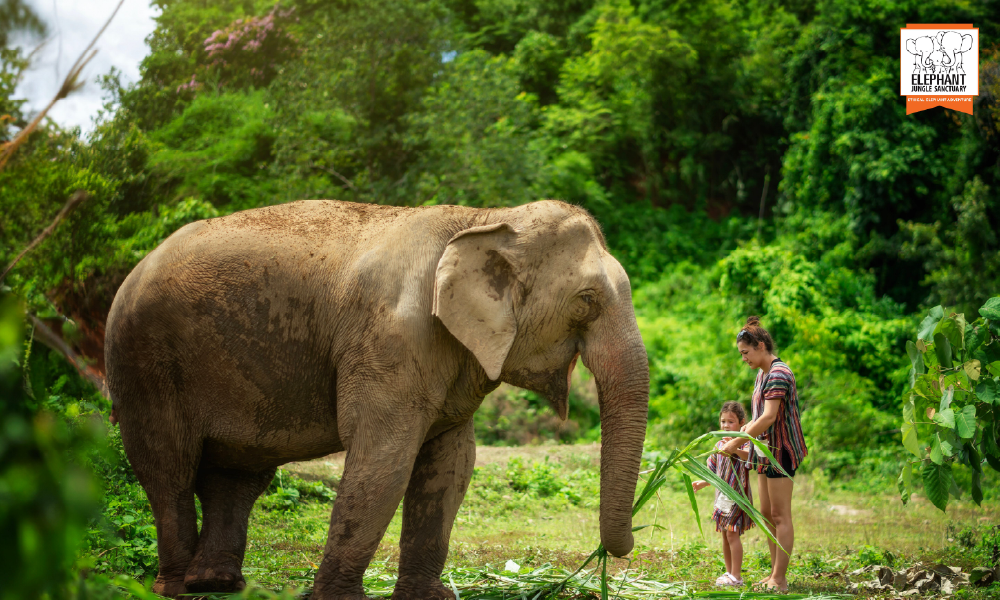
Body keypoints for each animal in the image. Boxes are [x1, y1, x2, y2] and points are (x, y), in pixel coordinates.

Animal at [104, 200, 650, 599]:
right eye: (586, 301)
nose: (620, 550)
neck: (484, 218)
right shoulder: (390, 340)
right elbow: (384, 457)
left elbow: (452, 463)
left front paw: (428, 598)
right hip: (143, 359)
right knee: (167, 465)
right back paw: (177, 588)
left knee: (236, 475)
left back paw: (218, 584)